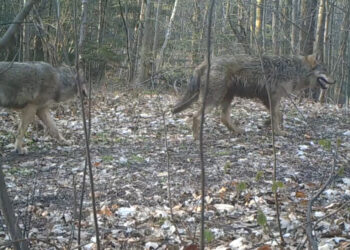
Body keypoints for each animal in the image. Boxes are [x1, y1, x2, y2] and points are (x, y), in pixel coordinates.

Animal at [174, 54, 334, 139]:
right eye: (326, 70)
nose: (335, 81)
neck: (294, 70)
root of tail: (206, 62)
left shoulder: (268, 99)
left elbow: (278, 115)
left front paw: (268, 124)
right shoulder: (274, 97)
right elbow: (277, 116)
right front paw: (278, 132)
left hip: (227, 97)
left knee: (223, 118)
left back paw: (237, 131)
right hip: (214, 99)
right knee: (196, 116)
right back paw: (197, 138)